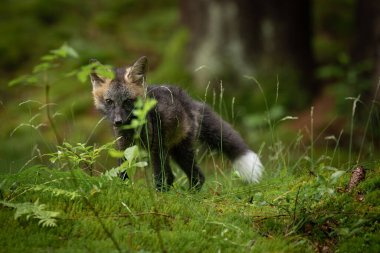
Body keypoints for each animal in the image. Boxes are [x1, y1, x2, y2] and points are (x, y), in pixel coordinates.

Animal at [91, 56, 264, 190]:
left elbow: (160, 176)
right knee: (180, 176)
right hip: (172, 151)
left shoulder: (155, 147)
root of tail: (189, 101)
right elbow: (123, 172)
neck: (135, 127)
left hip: (180, 151)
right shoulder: (124, 147)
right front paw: (124, 191)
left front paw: (159, 198)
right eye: (109, 101)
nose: (118, 121)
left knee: (195, 176)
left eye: (128, 101)